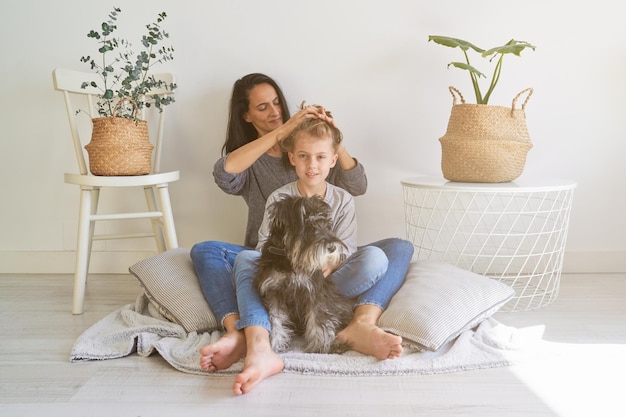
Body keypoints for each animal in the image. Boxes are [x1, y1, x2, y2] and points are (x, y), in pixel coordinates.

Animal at [252, 193, 352, 352]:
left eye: (326, 224)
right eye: (309, 224)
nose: (332, 248)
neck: (289, 258)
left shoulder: (314, 291)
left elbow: (317, 318)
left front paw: (320, 345)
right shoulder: (273, 291)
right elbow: (275, 318)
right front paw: (276, 343)